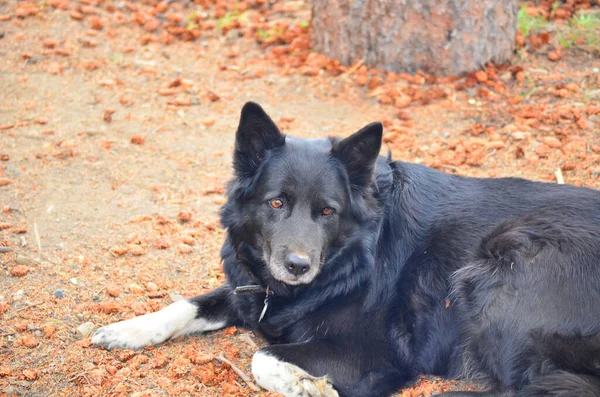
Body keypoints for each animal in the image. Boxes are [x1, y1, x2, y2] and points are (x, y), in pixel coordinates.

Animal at [91, 103, 600, 396]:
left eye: (328, 211)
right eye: (276, 202)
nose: (297, 266)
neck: (349, 261)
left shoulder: (373, 354)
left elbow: (263, 355)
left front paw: (304, 384)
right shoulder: (251, 289)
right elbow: (187, 305)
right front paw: (126, 330)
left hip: (504, 260)